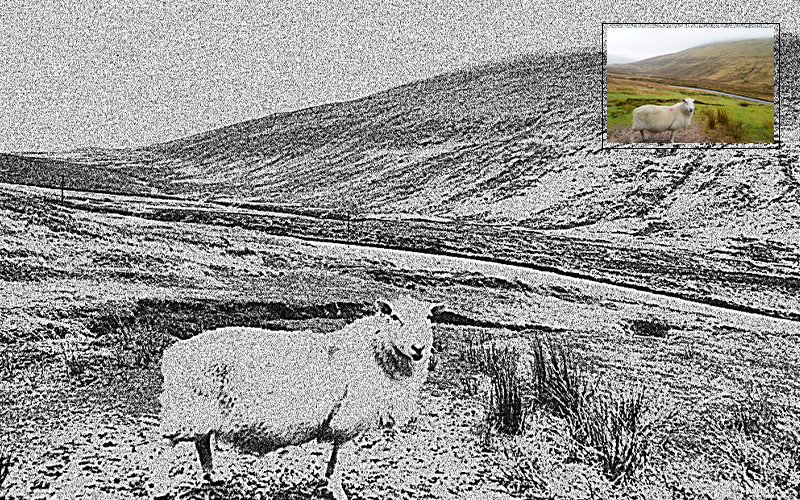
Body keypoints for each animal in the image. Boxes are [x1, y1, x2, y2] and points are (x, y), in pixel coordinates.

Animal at [148, 296, 444, 500]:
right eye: (395, 317)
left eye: (429, 319)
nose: (418, 349)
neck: (375, 353)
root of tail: (173, 353)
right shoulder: (348, 420)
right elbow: (340, 458)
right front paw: (338, 490)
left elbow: (335, 458)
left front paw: (330, 483)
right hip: (187, 407)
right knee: (166, 446)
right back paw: (161, 487)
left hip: (202, 407)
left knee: (202, 441)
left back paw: (213, 476)